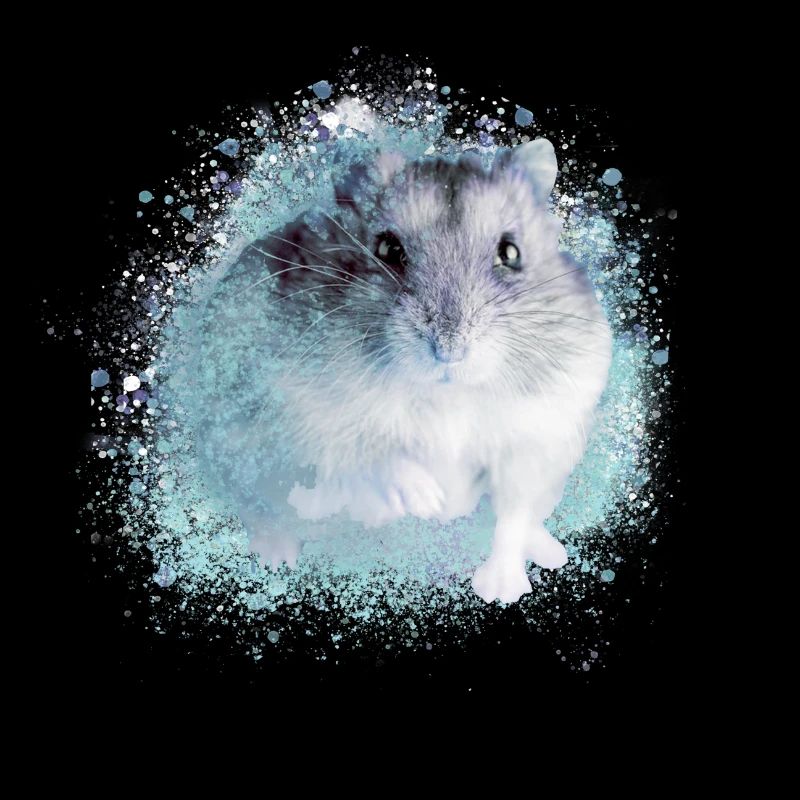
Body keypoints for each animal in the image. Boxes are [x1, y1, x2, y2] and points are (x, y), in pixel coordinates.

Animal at [197, 134, 613, 604]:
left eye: (510, 253)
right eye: (387, 249)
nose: (449, 351)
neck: (448, 393)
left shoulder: (540, 435)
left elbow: (512, 515)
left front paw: (500, 590)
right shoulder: (292, 404)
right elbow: (364, 449)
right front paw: (425, 500)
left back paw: (551, 552)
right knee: (265, 510)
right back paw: (279, 554)